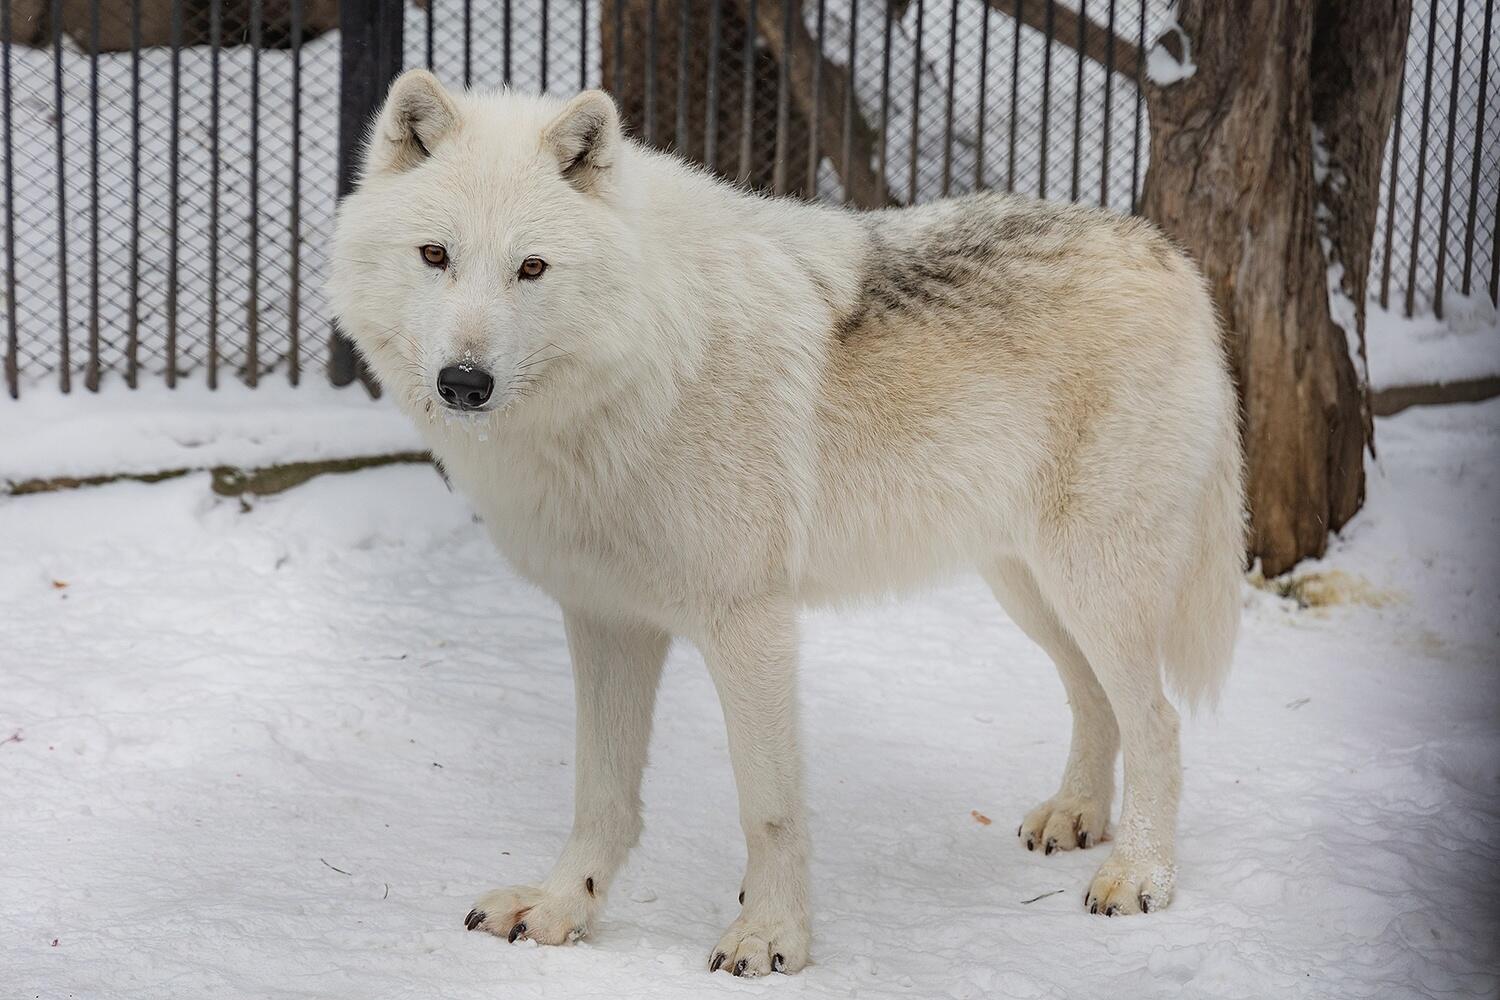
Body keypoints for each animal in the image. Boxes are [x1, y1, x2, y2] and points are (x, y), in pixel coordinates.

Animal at [334, 70, 1248, 977]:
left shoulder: (750, 623)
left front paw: (770, 938)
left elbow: (768, 807)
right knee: (1096, 700)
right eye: (436, 256)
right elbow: (600, 796)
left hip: (1091, 585)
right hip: (1027, 591)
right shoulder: (606, 619)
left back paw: (1138, 876)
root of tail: (1167, 253)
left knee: (1158, 721)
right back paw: (1077, 817)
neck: (637, 382)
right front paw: (563, 909)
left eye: (530, 267)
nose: (464, 381)